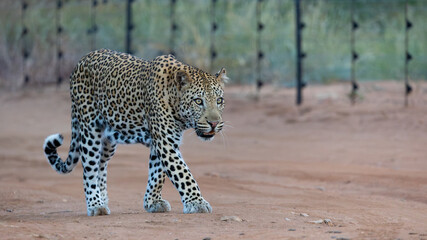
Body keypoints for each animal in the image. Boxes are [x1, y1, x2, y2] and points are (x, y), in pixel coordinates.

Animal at [44, 48, 229, 216]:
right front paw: (197, 203)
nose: (214, 123)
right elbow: (182, 173)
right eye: (198, 101)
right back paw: (95, 205)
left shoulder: (164, 142)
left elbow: (157, 174)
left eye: (219, 101)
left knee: (101, 166)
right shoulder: (165, 142)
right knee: (89, 169)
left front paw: (152, 202)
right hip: (90, 131)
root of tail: (81, 60)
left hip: (108, 141)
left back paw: (103, 199)